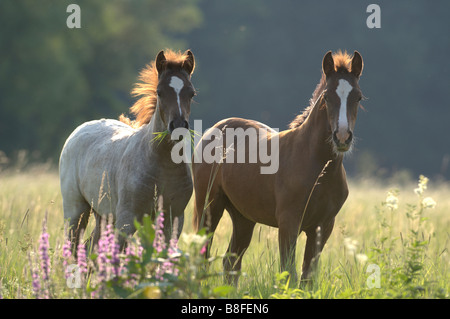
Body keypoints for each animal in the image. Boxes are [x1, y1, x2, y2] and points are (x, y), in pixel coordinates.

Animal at [59, 48, 196, 251]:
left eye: (192, 93)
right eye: (160, 92)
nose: (178, 125)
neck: (163, 167)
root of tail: (78, 131)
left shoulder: (174, 220)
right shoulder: (127, 218)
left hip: (103, 215)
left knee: (92, 245)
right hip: (76, 210)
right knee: (73, 245)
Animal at [192, 50, 364, 284]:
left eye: (358, 97)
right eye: (327, 97)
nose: (343, 137)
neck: (319, 168)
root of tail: (213, 130)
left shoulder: (323, 226)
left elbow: (308, 277)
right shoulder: (288, 223)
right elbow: (289, 272)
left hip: (243, 217)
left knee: (231, 262)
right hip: (209, 206)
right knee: (204, 257)